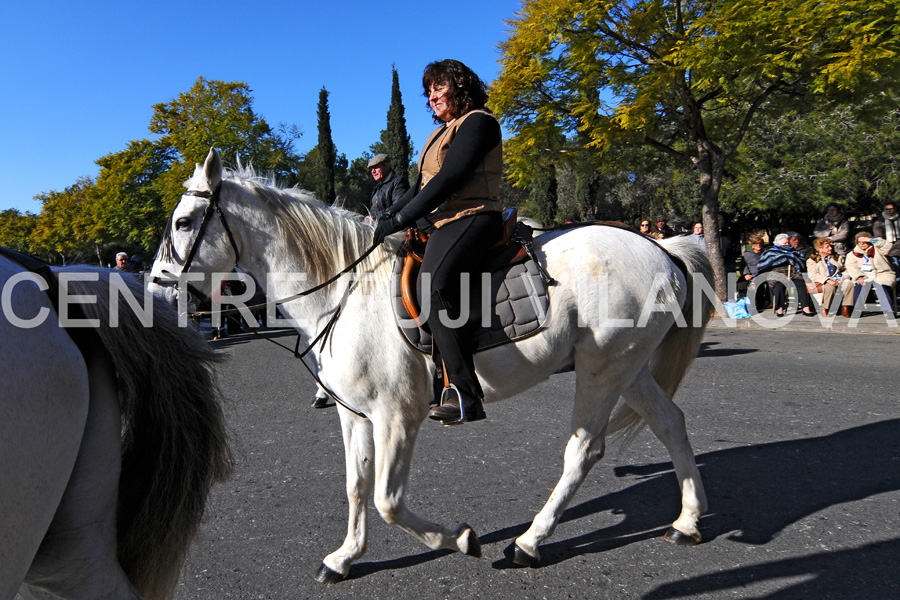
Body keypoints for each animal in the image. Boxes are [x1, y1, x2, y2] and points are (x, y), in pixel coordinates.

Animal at [148, 149, 712, 580]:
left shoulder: (397, 417)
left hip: (602, 370)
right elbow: (356, 486)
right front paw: (345, 557)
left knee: (584, 450)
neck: (343, 290)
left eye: (183, 222)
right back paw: (687, 522)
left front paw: (459, 539)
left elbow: (387, 499)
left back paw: (529, 541)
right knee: (671, 422)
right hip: (628, 369)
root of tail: (661, 248)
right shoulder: (354, 415)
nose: (153, 287)